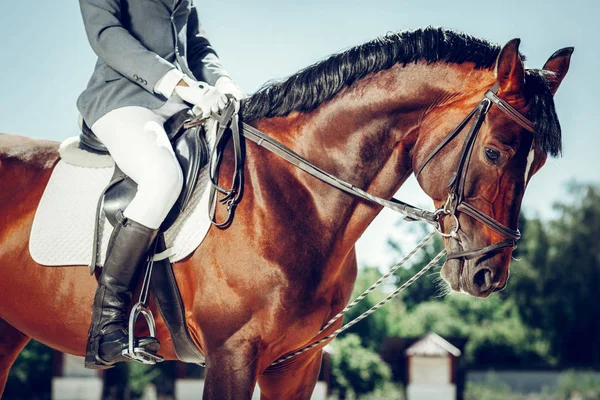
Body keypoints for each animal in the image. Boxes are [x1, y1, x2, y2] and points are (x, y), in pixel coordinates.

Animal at [0, 27, 572, 396]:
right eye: (495, 151)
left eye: (538, 163)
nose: (488, 273)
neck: (294, 196)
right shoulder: (231, 356)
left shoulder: (296, 364)